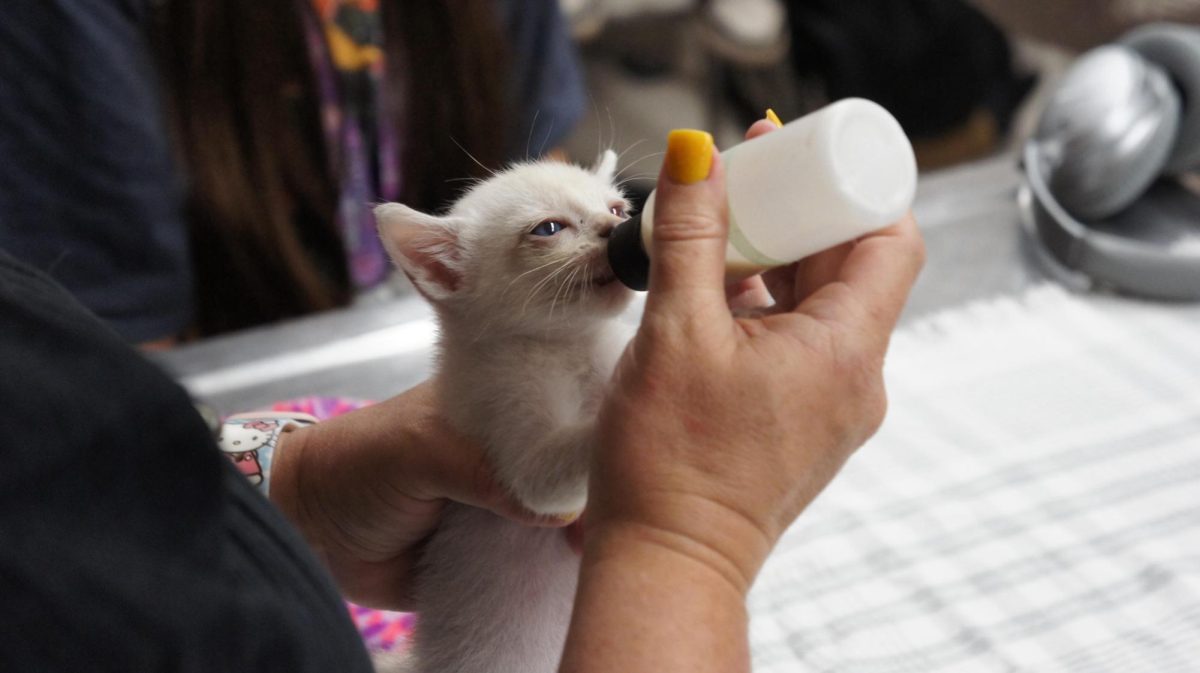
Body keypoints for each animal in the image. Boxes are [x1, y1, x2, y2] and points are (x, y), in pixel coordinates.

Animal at [376, 152, 638, 671]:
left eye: (618, 209)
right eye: (548, 228)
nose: (615, 226)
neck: (570, 347)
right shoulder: (501, 412)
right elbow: (546, 474)